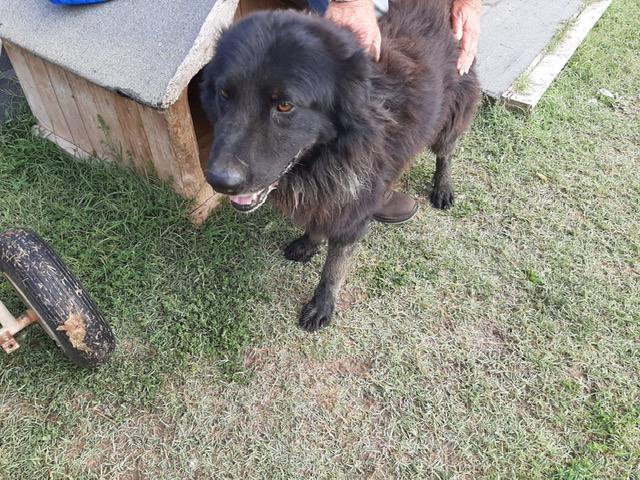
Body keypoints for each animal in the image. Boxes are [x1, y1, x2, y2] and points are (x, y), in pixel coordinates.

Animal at [200, 0, 480, 331]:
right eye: (224, 94)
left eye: (285, 105)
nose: (220, 181)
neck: (326, 156)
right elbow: (316, 220)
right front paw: (310, 242)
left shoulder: (352, 213)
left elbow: (333, 270)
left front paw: (322, 305)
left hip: (450, 117)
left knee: (445, 152)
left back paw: (443, 187)